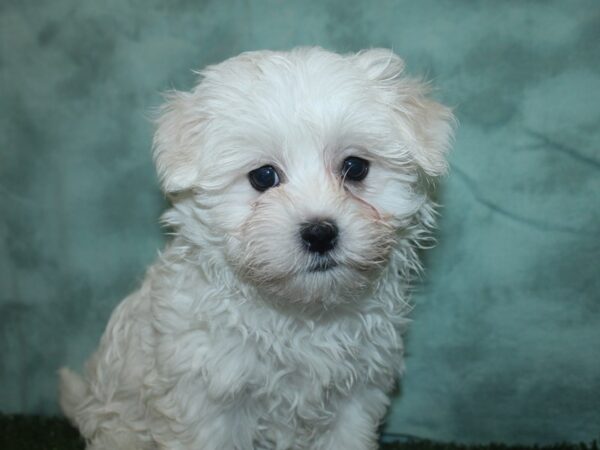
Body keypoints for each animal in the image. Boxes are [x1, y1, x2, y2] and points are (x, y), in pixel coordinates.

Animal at [61, 46, 454, 450]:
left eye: (355, 167)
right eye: (263, 176)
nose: (320, 234)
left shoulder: (356, 395)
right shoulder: (207, 396)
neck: (303, 314)